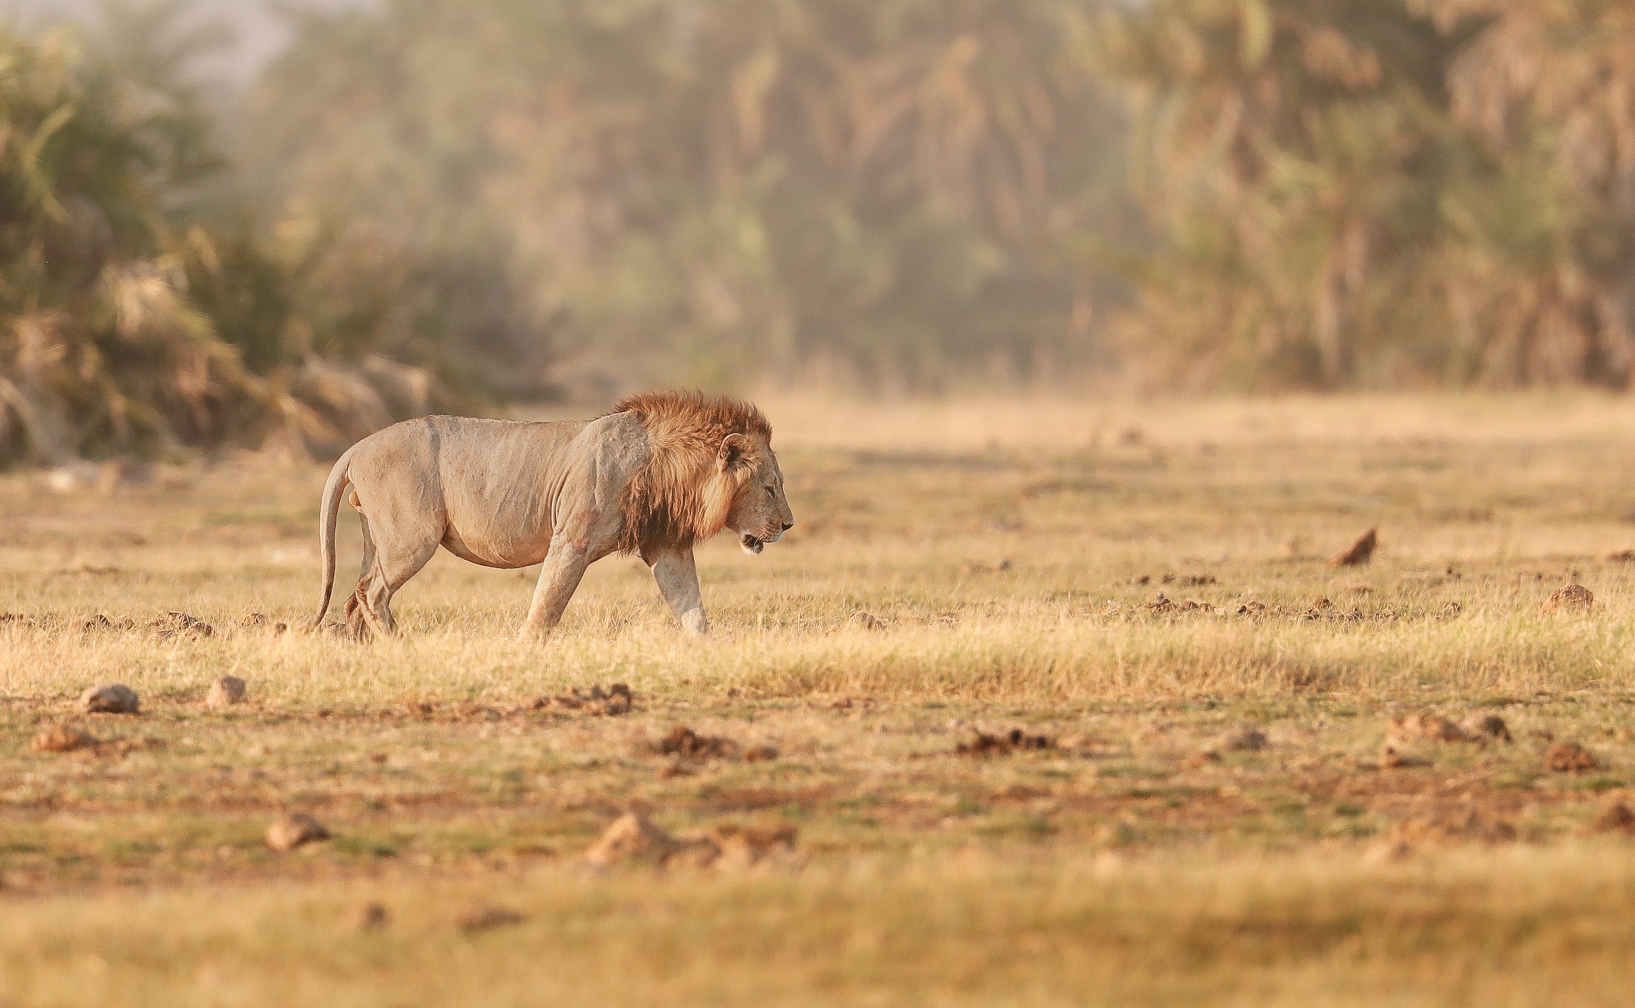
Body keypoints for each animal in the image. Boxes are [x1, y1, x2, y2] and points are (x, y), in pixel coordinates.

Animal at [309, 390, 794, 637]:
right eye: (770, 488)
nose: (788, 525)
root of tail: (356, 446)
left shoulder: (667, 545)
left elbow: (691, 606)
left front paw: (706, 649)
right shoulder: (572, 540)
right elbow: (548, 602)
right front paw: (525, 648)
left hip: (378, 540)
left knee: (355, 597)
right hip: (410, 540)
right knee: (371, 591)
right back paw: (401, 644)